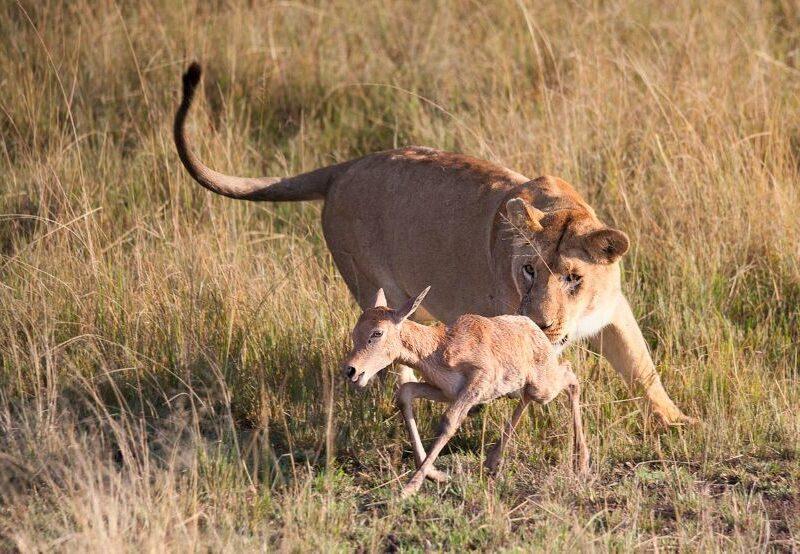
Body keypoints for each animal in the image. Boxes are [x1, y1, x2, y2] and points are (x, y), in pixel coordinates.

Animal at [173, 63, 694, 426]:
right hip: (369, 282)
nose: (542, 323)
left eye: (573, 277)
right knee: (383, 334)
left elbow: (643, 368)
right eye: (528, 269)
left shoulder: (615, 312)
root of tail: (346, 167)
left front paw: (677, 422)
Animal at [341, 286, 590, 497]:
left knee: (570, 376)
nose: (351, 370)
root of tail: (533, 328)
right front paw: (437, 476)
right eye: (355, 331)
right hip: (525, 388)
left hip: (544, 387)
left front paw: (409, 489)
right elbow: (405, 393)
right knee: (529, 397)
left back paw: (581, 462)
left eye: (377, 333)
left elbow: (449, 421)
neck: (439, 346)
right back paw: (492, 461)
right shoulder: (445, 391)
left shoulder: (476, 383)